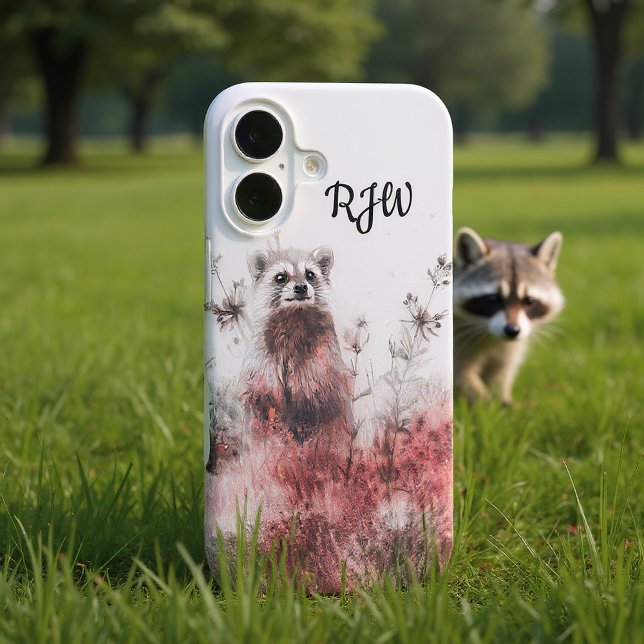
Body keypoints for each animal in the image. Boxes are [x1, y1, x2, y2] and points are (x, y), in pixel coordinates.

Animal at [239, 245, 354, 449]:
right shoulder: (263, 355)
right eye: (281, 277)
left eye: (310, 275)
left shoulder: (321, 356)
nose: (301, 287)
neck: (295, 314)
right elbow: (261, 394)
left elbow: (316, 394)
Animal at [453, 227, 564, 406]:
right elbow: (461, 374)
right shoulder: (458, 338)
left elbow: (502, 373)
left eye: (529, 301)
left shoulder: (512, 346)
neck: (492, 338)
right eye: (493, 299)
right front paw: (484, 401)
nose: (512, 330)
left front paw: (503, 399)